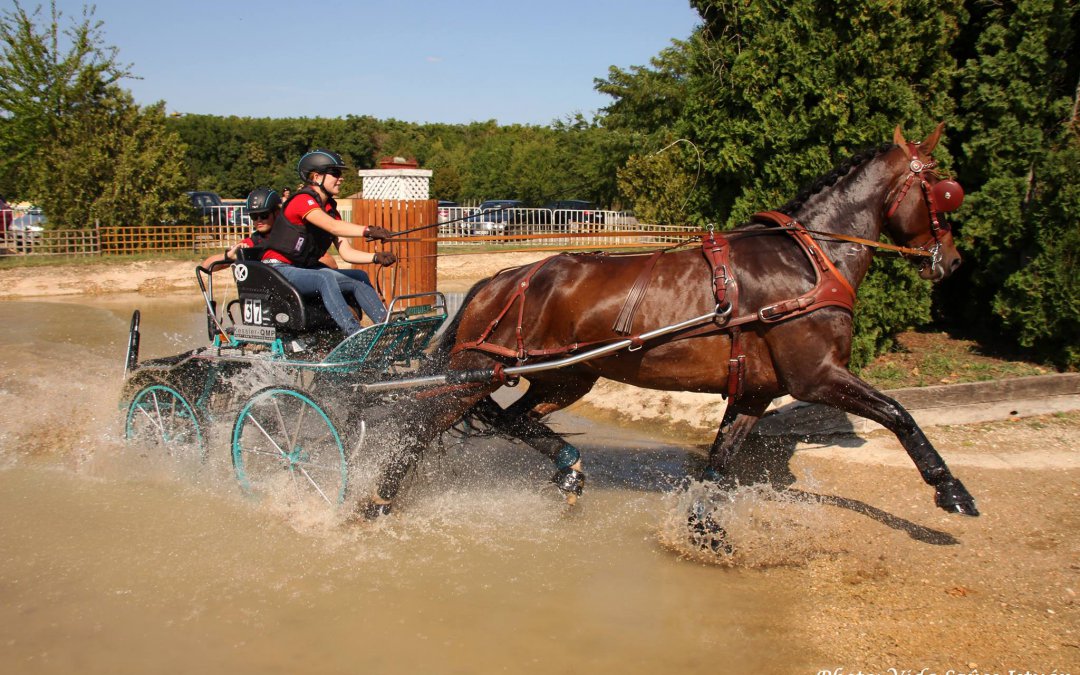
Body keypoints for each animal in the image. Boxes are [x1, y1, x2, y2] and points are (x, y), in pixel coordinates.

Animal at [356, 123, 979, 526]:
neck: (806, 260)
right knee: (421, 428)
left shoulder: (755, 391)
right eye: (945, 190)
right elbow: (898, 414)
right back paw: (375, 501)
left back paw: (568, 469)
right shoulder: (818, 376)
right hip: (477, 375)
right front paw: (950, 489)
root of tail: (500, 279)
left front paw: (703, 525)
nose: (952, 261)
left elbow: (721, 460)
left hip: (566, 376)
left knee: (516, 419)